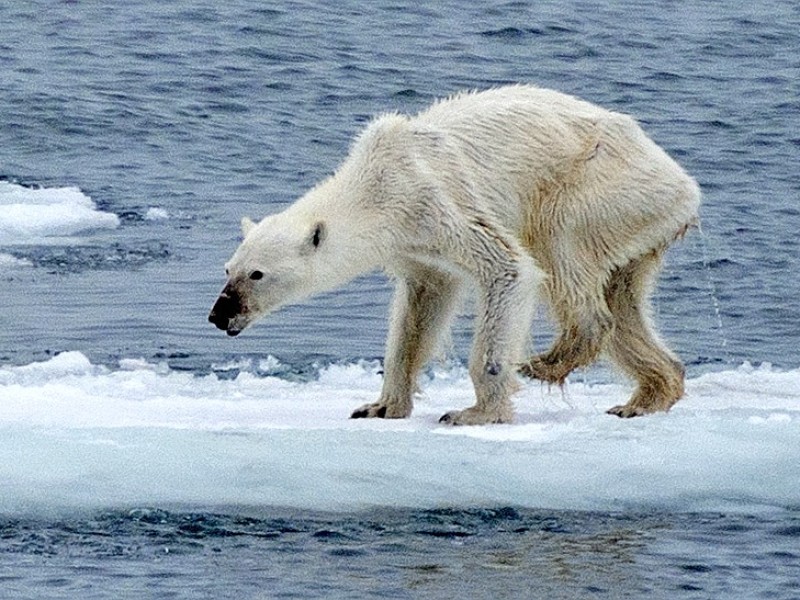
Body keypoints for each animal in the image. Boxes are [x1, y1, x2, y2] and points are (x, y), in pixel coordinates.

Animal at [208, 85, 700, 426]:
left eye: (256, 274)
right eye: (228, 268)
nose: (218, 314)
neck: (376, 184)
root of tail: (685, 185)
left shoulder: (435, 200)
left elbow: (509, 268)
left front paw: (475, 412)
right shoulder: (414, 245)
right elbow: (420, 309)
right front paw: (379, 405)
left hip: (600, 188)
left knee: (561, 248)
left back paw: (549, 361)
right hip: (637, 223)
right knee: (623, 300)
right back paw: (645, 396)